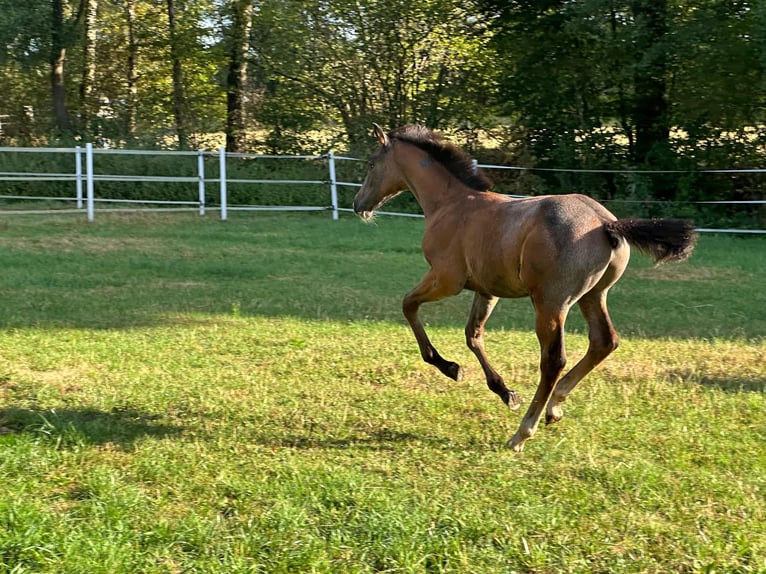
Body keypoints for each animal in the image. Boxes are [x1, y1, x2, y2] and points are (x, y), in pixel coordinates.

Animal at [353, 124, 696, 452]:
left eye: (371, 163)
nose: (358, 205)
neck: (451, 204)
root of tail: (605, 224)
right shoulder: (487, 289)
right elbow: (473, 335)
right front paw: (505, 392)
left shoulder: (446, 279)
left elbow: (408, 305)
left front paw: (449, 367)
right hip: (593, 295)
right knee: (604, 341)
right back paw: (554, 407)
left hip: (550, 303)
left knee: (554, 360)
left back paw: (522, 432)